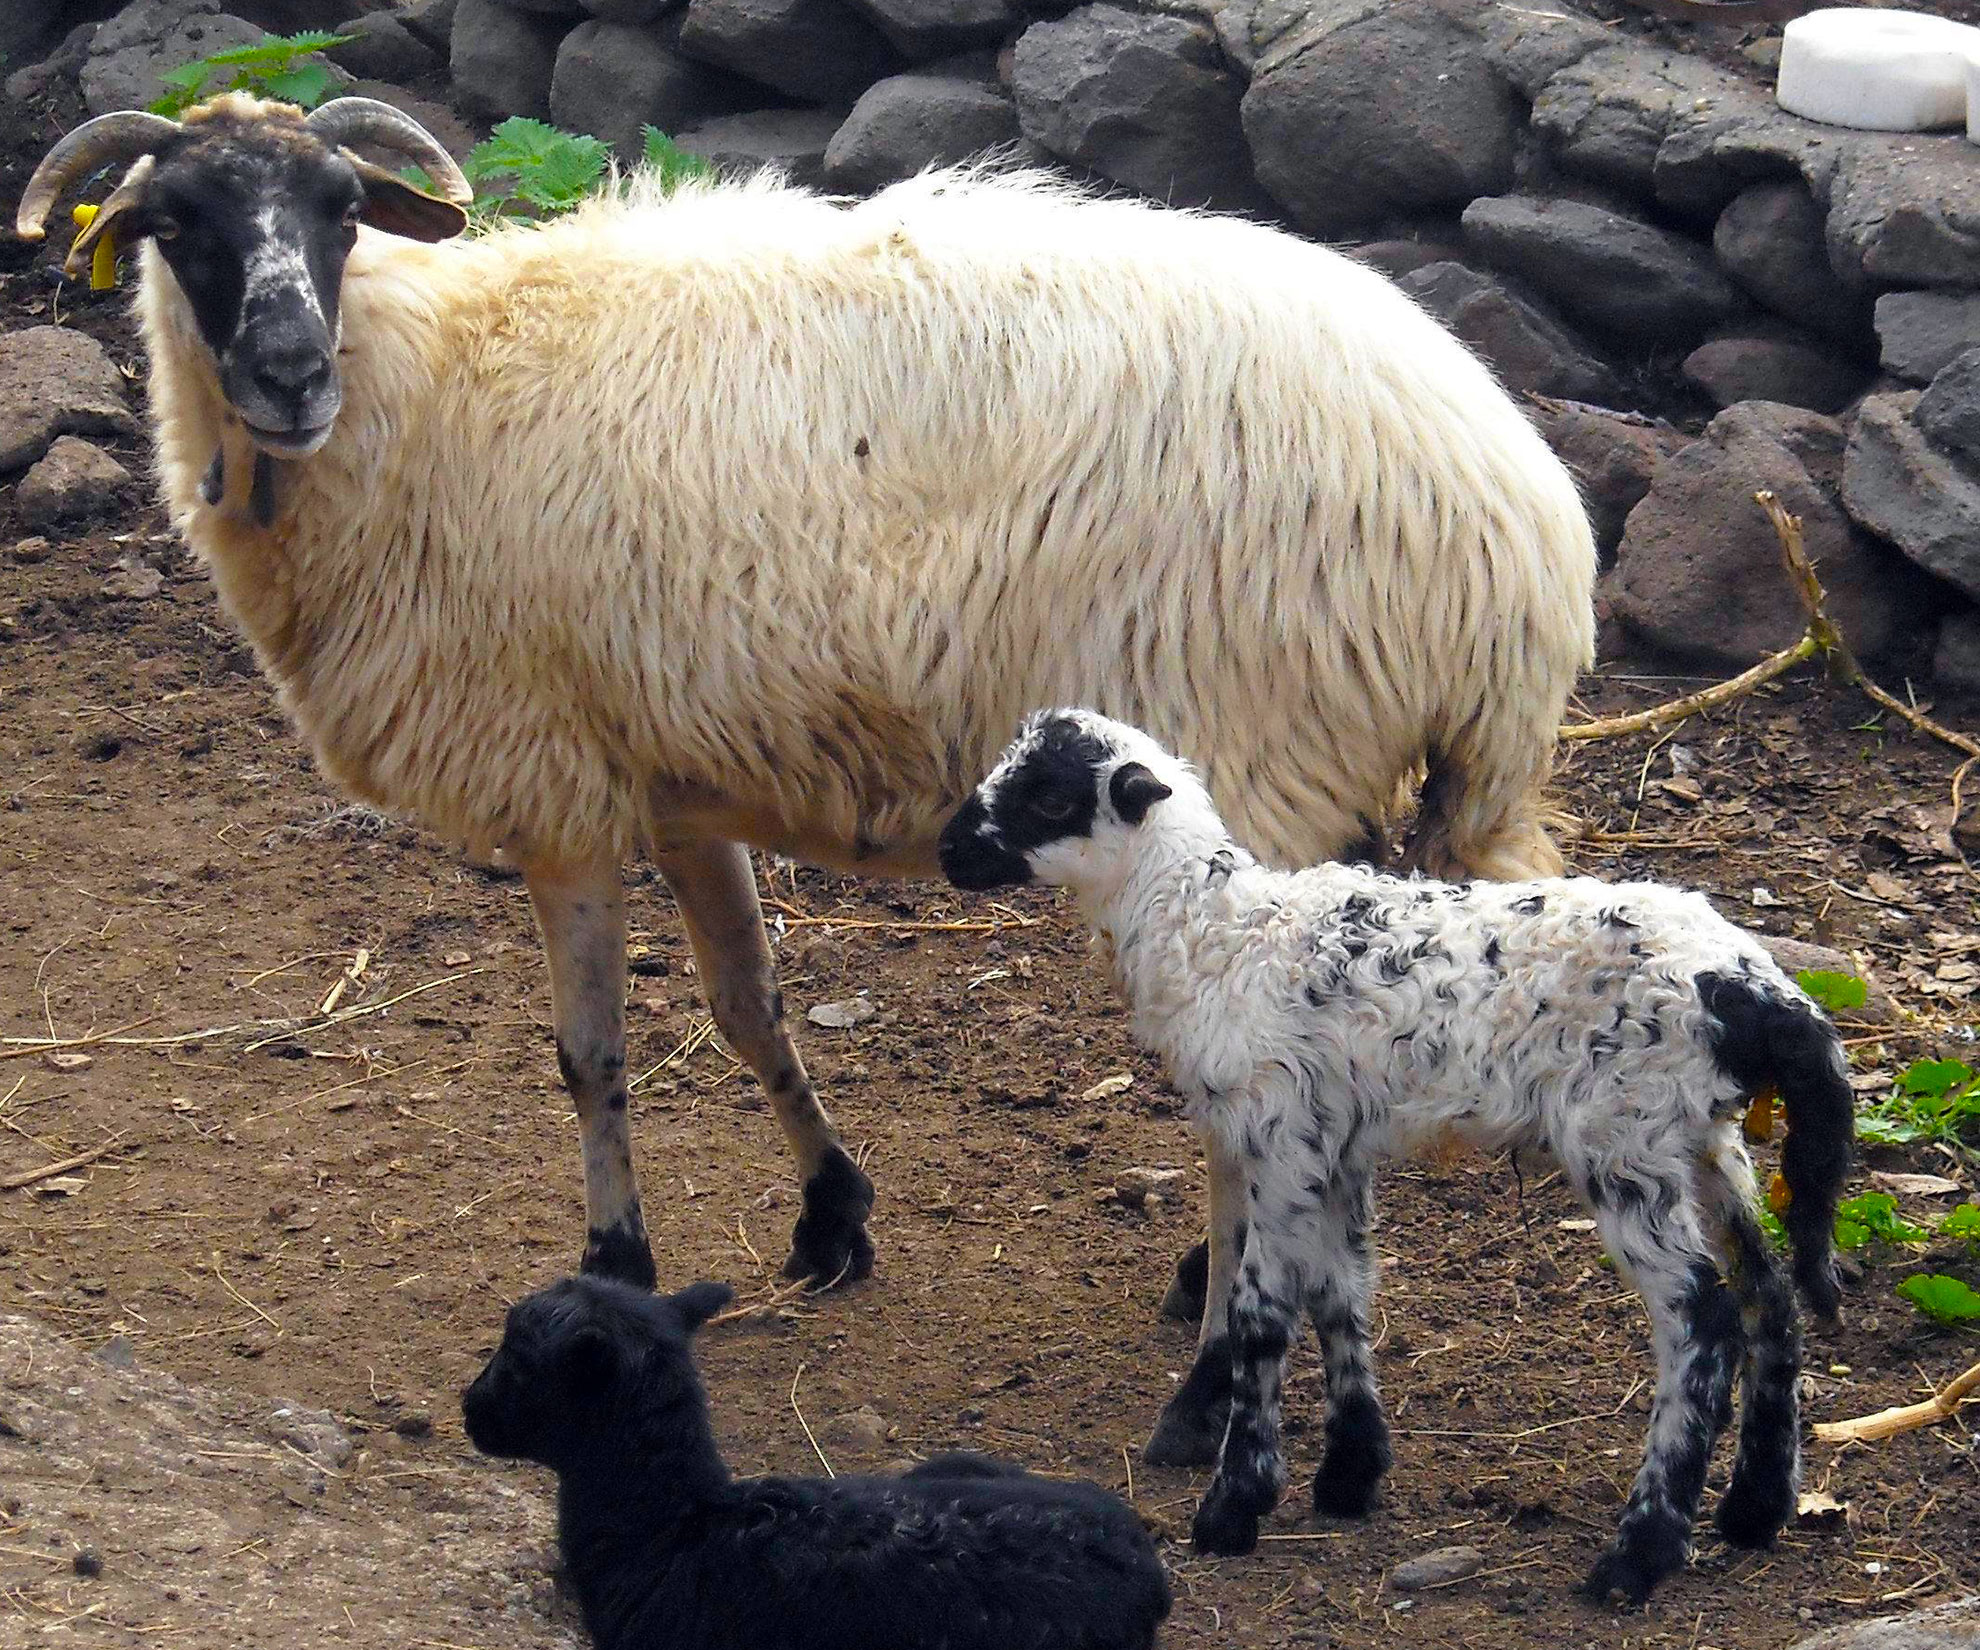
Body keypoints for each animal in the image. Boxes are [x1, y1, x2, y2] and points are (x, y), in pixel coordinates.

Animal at [11, 96, 1591, 1378]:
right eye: (174, 221)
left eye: (342, 205)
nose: (287, 370)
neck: (417, 386)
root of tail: (1519, 529)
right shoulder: (675, 783)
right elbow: (744, 1005)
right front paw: (832, 1215)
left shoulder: (557, 787)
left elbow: (590, 1052)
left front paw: (616, 1263)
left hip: (1256, 762)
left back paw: (1213, 1299)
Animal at [938, 705, 1853, 1600]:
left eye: (1051, 797)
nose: (949, 850)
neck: (1219, 936)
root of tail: (1756, 990)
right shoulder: (1335, 1145)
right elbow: (1341, 1292)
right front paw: (1350, 1474)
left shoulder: (1279, 1137)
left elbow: (1262, 1315)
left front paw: (1235, 1506)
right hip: (1704, 1140)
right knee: (1771, 1298)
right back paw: (1755, 1509)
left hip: (1625, 1138)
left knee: (1702, 1322)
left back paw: (1640, 1553)